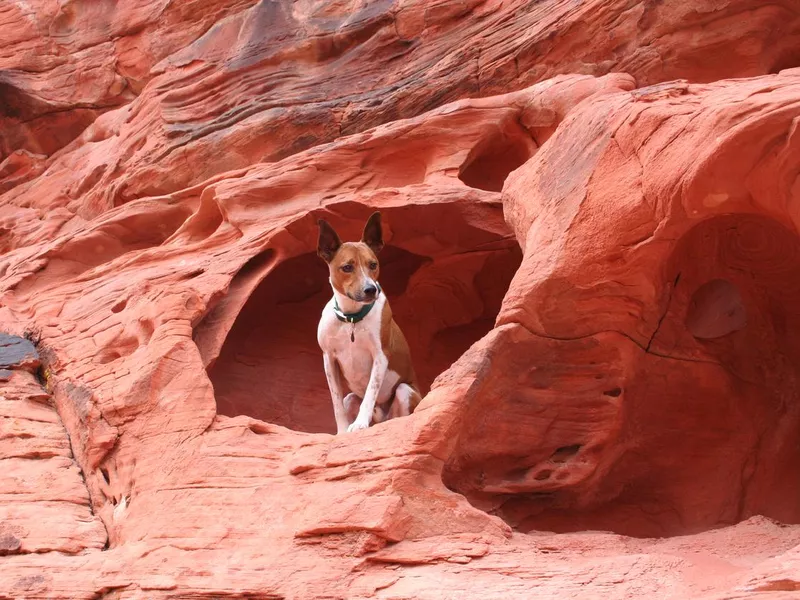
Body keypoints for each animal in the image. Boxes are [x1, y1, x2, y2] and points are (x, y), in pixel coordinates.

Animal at [316, 211, 422, 432]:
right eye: (347, 267)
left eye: (373, 264)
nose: (370, 289)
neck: (352, 319)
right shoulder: (328, 359)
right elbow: (336, 402)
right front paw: (342, 431)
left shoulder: (380, 356)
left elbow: (370, 393)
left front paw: (359, 424)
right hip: (351, 398)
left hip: (404, 390)